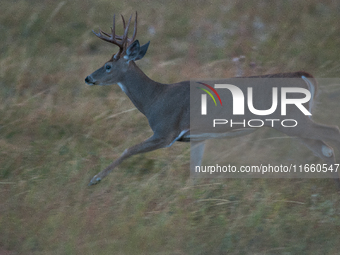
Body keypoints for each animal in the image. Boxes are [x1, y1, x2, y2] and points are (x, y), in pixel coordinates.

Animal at [85, 12, 340, 185]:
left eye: (108, 66)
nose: (88, 78)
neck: (154, 99)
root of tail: (304, 75)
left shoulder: (166, 131)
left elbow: (129, 149)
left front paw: (95, 179)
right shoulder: (197, 138)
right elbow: (195, 174)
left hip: (292, 119)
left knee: (332, 134)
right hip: (293, 123)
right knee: (325, 149)